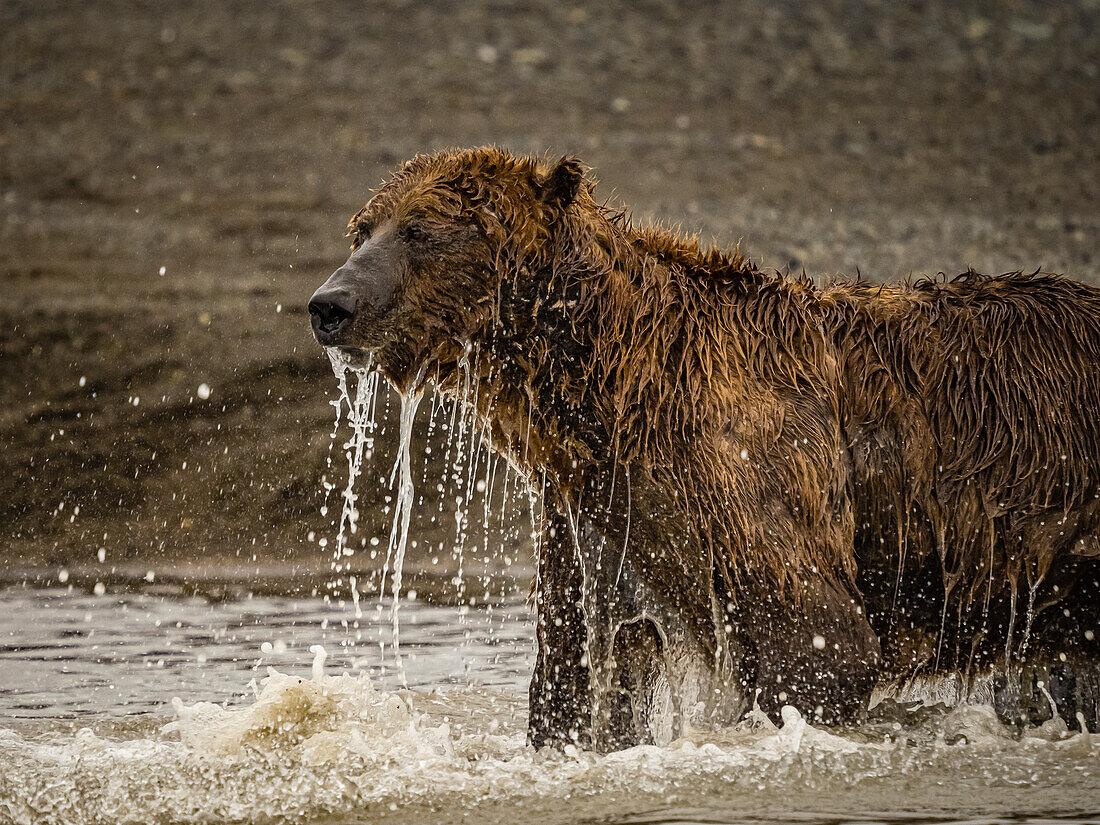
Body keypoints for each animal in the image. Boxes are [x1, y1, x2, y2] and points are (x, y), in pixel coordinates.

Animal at [308, 145, 1100, 752]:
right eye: (362, 228)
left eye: (423, 230)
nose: (329, 305)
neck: (618, 387)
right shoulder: (594, 517)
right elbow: (577, 671)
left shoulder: (748, 473)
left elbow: (818, 646)